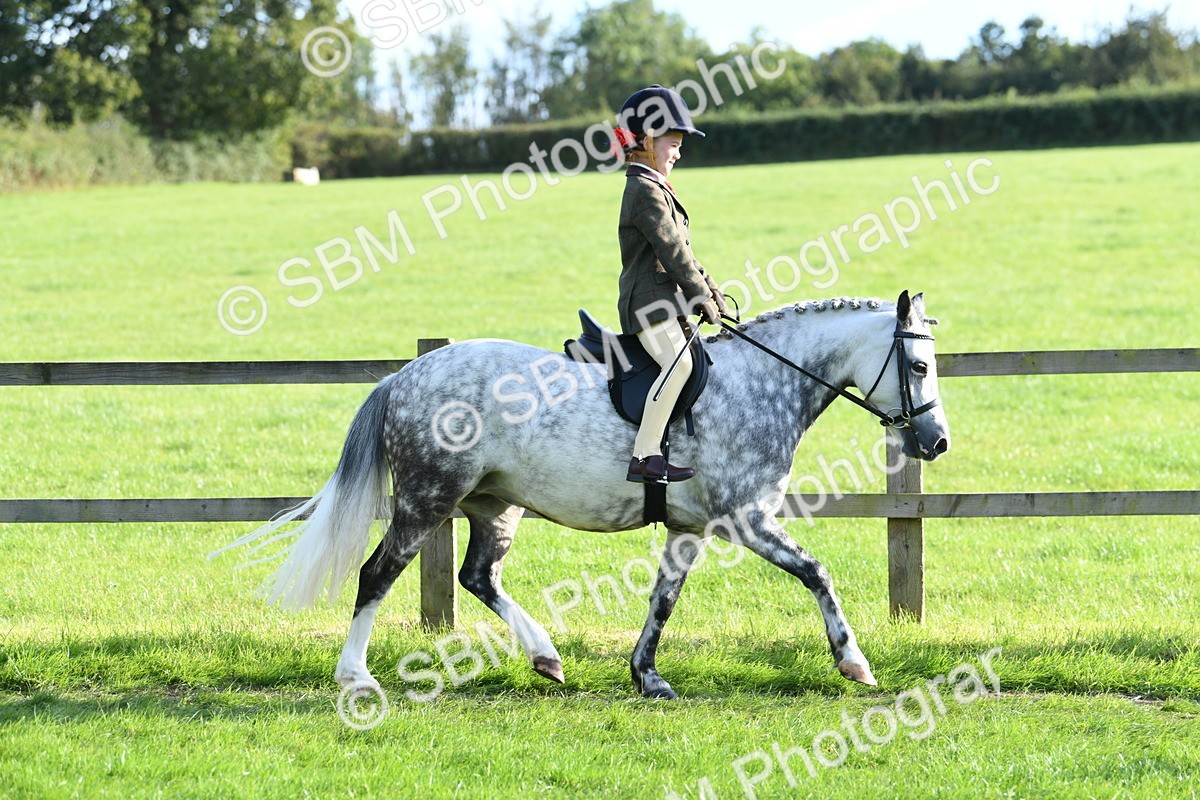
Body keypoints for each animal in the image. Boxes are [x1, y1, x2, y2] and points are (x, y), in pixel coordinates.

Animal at [212, 290, 950, 699]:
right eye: (917, 365)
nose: (936, 441)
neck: (763, 383)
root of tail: (405, 375)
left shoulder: (690, 528)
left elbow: (662, 600)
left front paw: (647, 675)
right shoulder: (746, 519)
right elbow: (817, 574)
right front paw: (854, 663)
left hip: (495, 506)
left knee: (478, 576)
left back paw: (545, 655)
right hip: (426, 500)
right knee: (378, 573)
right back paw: (355, 676)